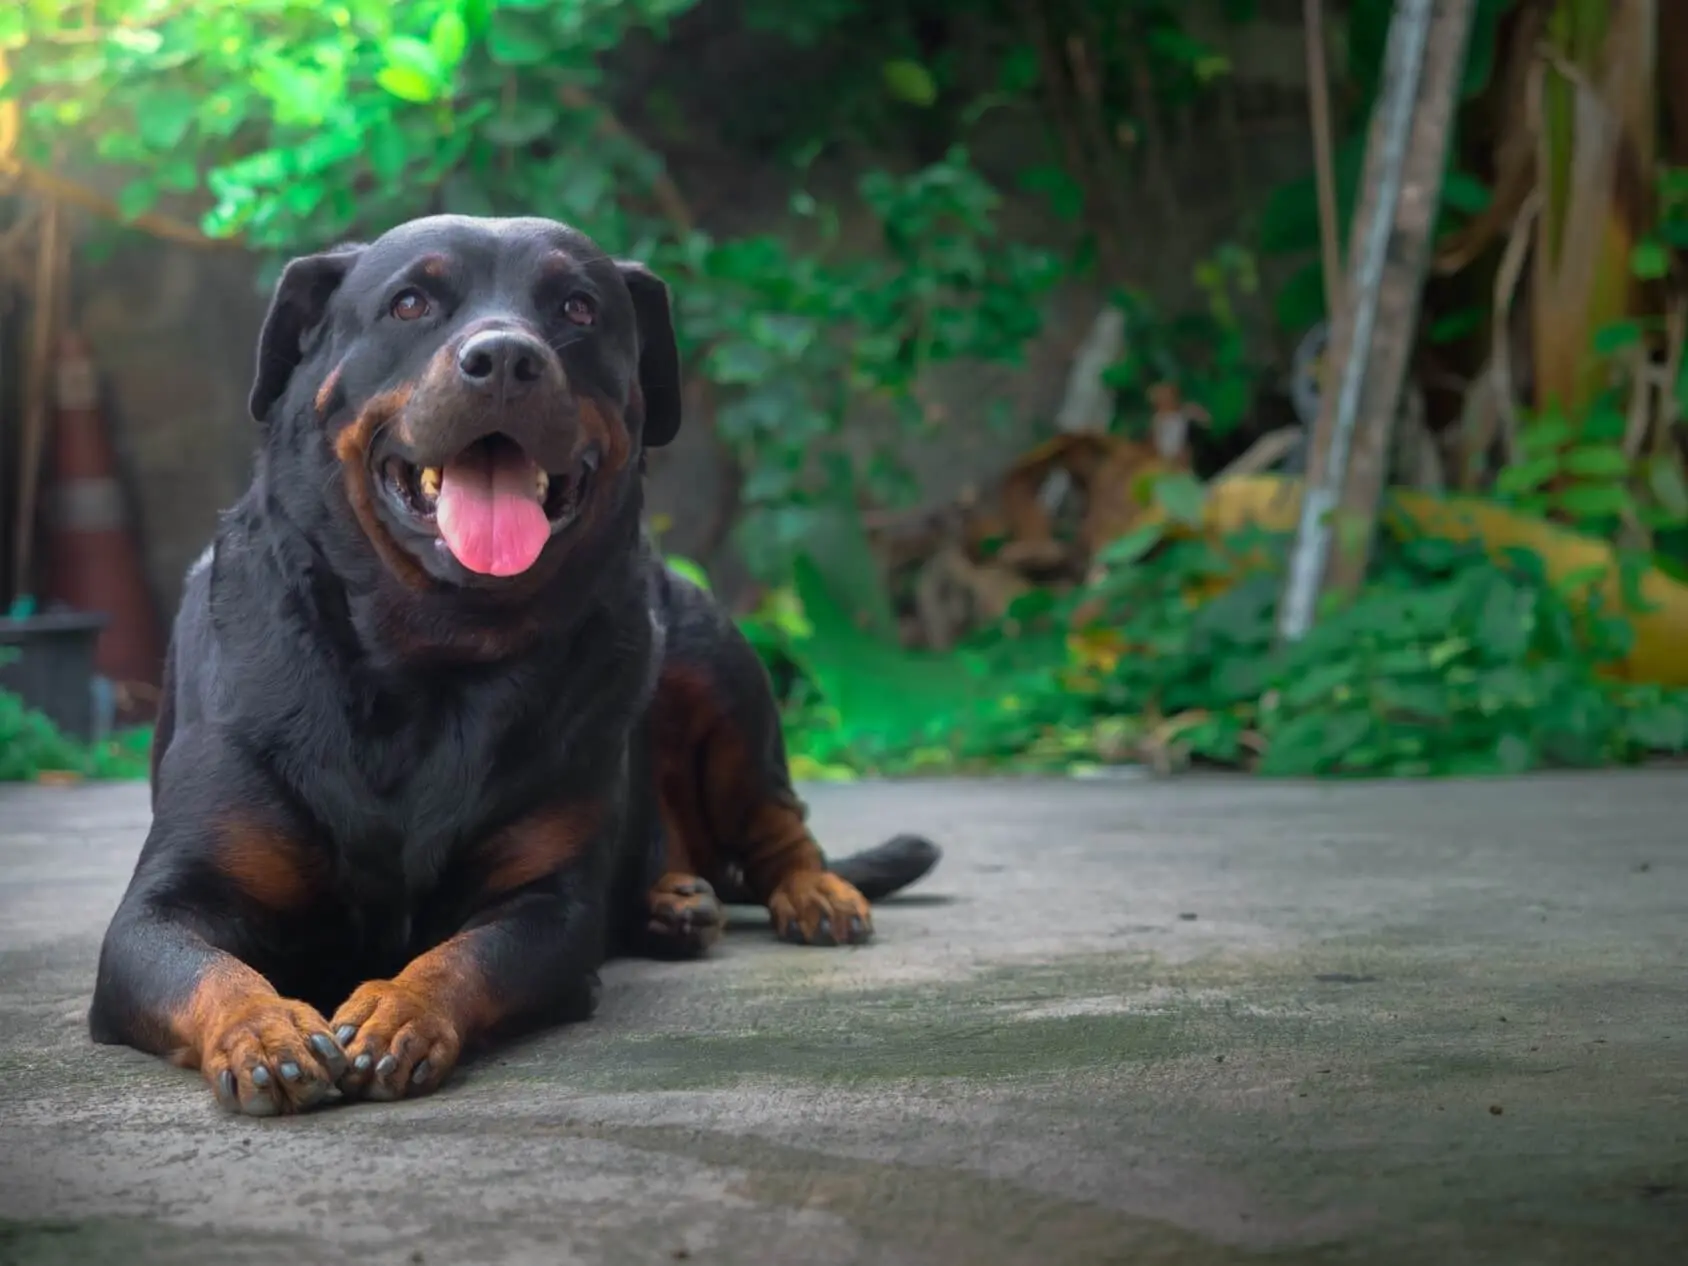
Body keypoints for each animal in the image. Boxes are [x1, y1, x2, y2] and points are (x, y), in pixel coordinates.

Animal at [89, 217, 938, 1120]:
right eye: (410, 302)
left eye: (579, 307)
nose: (504, 358)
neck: (426, 657)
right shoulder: (167, 902)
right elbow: (207, 968)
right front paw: (265, 1030)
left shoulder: (548, 906)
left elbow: (467, 957)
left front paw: (399, 1010)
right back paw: (672, 904)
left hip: (712, 658)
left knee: (775, 814)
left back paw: (808, 892)